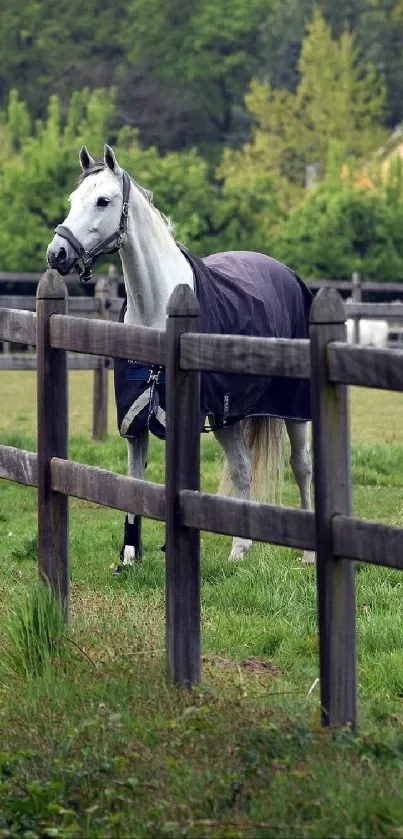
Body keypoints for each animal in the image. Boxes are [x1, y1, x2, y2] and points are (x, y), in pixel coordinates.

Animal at [45, 148, 314, 568]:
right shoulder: (135, 417)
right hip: (226, 415)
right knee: (243, 466)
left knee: (301, 467)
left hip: (294, 408)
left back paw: (308, 554)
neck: (158, 306)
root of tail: (287, 273)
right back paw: (239, 551)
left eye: (103, 200)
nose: (57, 254)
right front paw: (129, 555)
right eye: (74, 200)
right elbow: (133, 481)